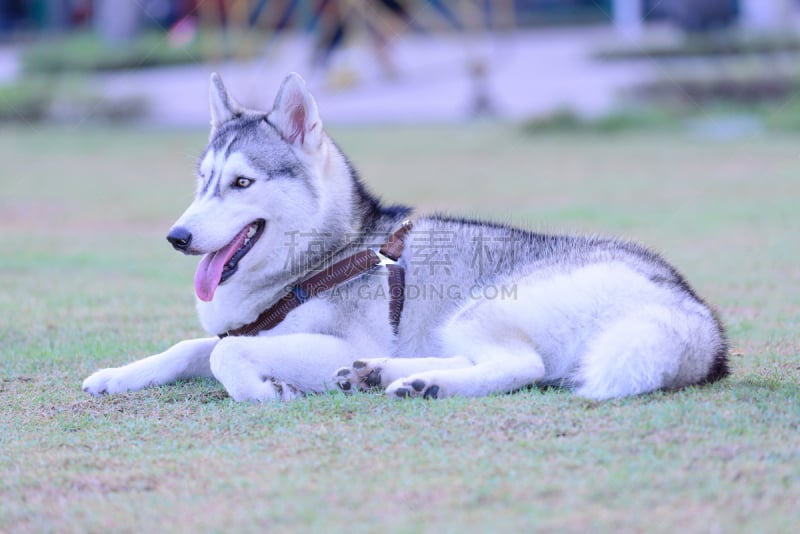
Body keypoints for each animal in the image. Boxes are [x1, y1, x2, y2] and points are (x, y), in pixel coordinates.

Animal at [83, 72, 732, 402]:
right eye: (203, 182)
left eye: (242, 182)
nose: (177, 236)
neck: (321, 257)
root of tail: (691, 310)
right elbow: (189, 348)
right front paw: (117, 376)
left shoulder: (331, 341)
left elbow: (224, 354)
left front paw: (266, 392)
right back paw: (384, 374)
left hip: (481, 309)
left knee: (520, 366)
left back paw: (425, 384)